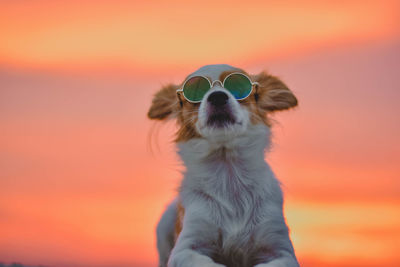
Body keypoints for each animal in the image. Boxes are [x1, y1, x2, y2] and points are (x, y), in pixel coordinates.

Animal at [148, 65, 298, 267]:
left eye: (239, 86)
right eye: (194, 91)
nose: (217, 96)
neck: (229, 173)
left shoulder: (283, 252)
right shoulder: (184, 250)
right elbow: (205, 262)